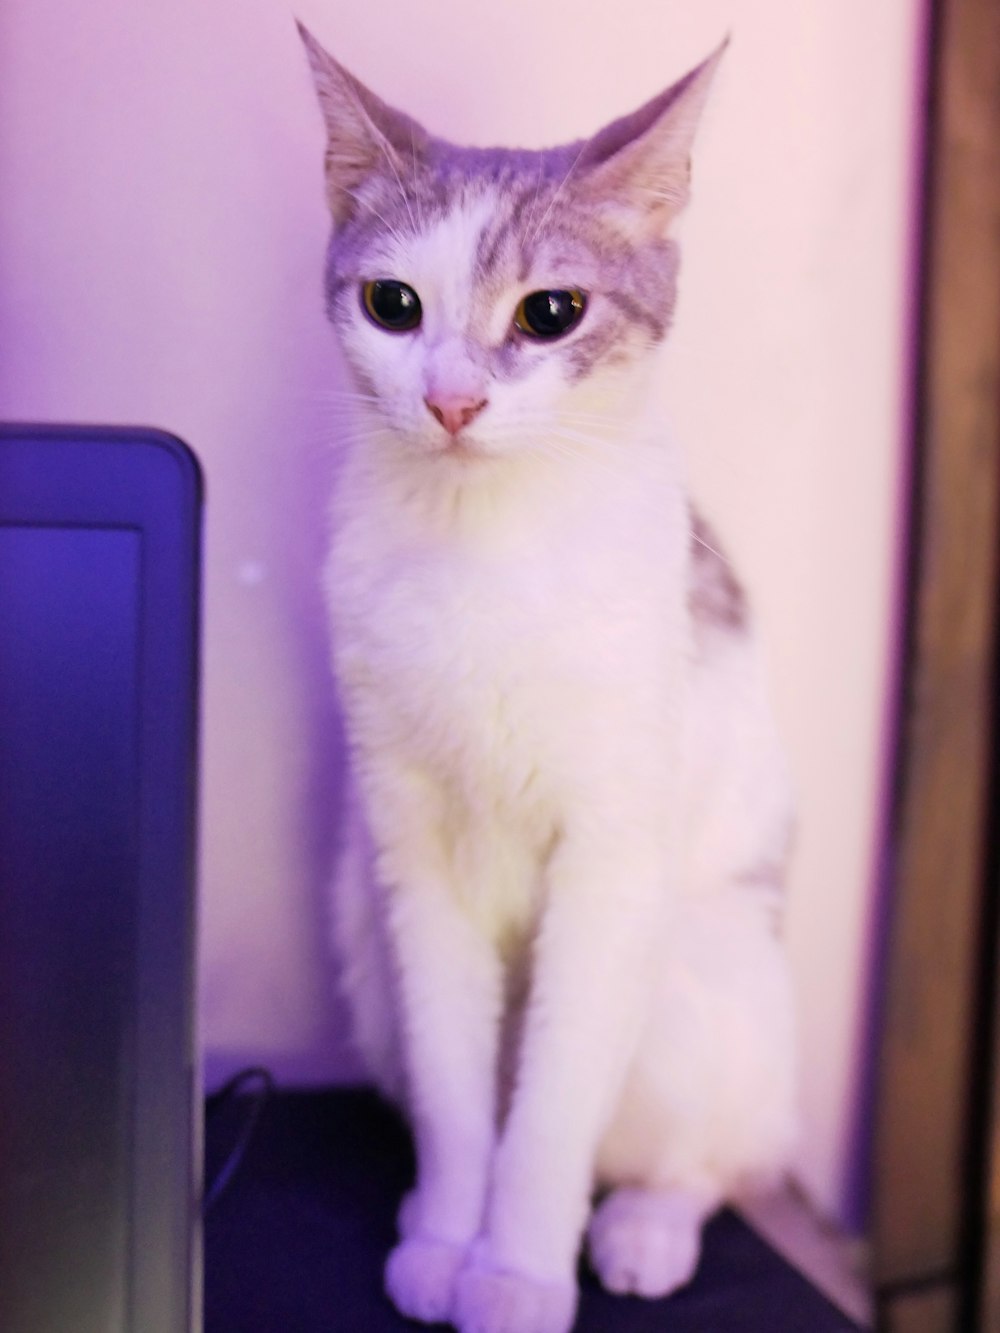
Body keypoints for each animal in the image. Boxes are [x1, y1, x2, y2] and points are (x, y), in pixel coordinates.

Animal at [297, 25, 800, 1333]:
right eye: (393, 304)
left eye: (551, 312)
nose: (452, 399)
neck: (484, 544)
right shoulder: (410, 852)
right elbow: (457, 1093)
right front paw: (445, 1236)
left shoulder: (609, 863)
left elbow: (549, 1119)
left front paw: (515, 1270)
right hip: (358, 938)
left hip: (696, 977)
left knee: (716, 1161)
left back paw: (641, 1226)